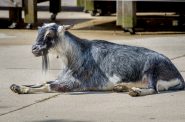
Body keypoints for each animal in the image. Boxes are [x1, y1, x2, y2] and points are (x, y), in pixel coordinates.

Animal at [10, 23, 185, 96]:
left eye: (49, 35)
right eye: (38, 33)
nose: (34, 49)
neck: (76, 56)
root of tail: (178, 76)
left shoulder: (75, 84)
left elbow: (48, 86)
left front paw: (22, 89)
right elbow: (41, 81)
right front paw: (17, 86)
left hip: (152, 68)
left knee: (153, 89)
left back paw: (135, 92)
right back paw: (121, 87)